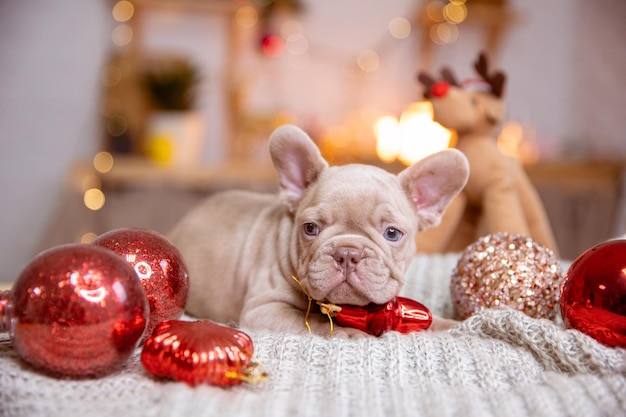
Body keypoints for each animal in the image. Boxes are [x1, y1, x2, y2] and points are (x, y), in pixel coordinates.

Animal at [168, 123, 466, 334]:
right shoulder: (264, 309)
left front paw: (454, 325)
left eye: (392, 233)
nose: (347, 253)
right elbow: (314, 321)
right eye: (310, 228)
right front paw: (352, 333)